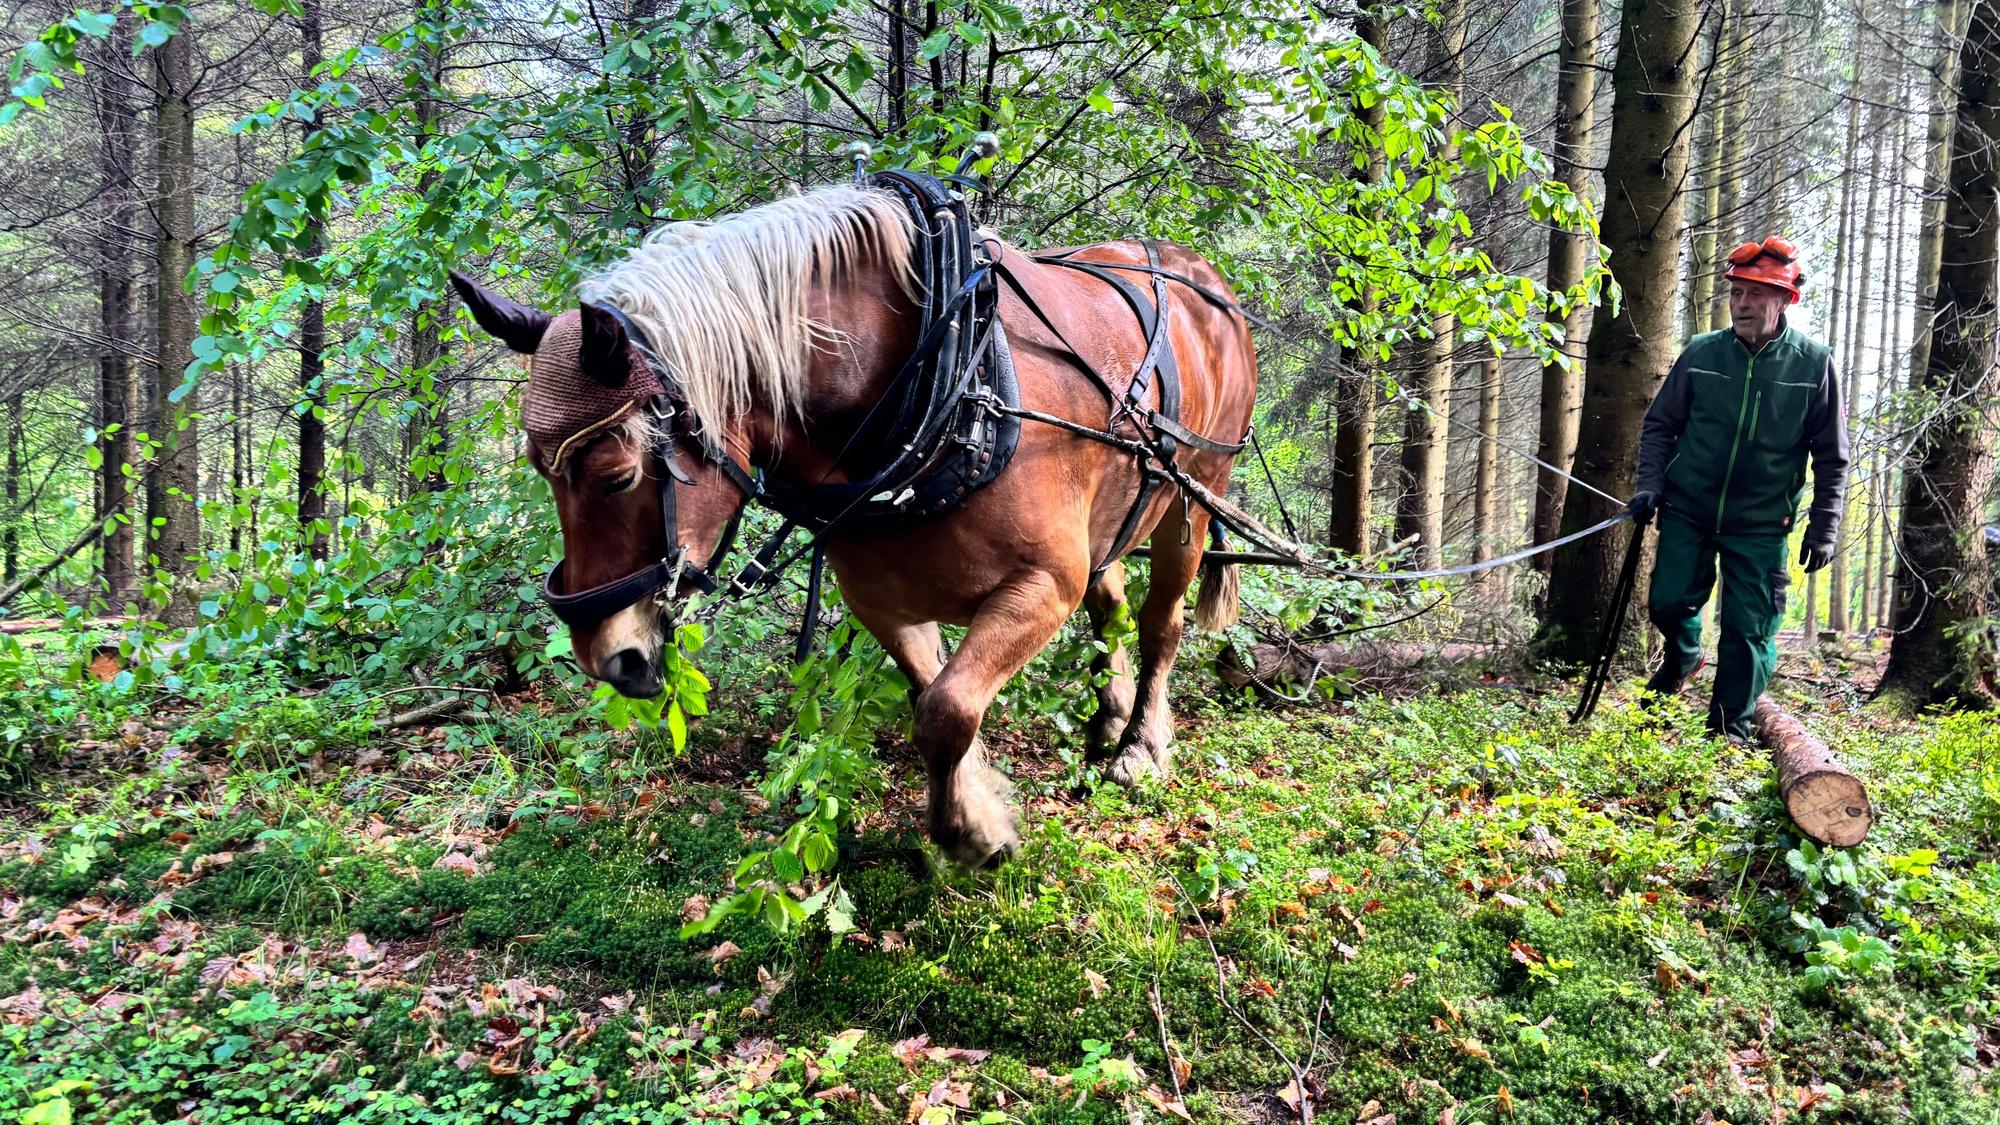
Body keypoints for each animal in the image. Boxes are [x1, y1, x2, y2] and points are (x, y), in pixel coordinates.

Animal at [449, 179, 1258, 868]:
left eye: (617, 475)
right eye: (538, 467)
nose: (605, 658)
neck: (945, 387)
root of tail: (1204, 279)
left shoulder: (1042, 585)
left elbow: (949, 710)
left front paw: (970, 831)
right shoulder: (886, 603)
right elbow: (934, 702)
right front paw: (978, 804)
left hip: (1193, 500)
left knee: (1159, 624)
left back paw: (1140, 743)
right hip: (1117, 515)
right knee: (1111, 607)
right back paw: (1109, 714)